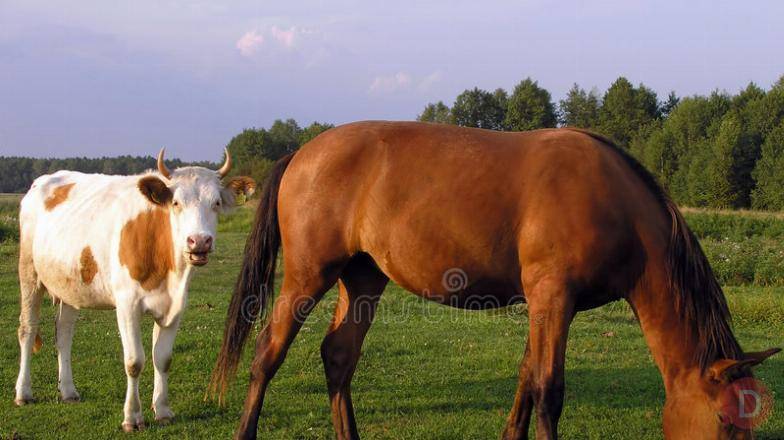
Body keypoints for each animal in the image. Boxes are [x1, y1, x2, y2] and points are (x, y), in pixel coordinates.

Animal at [14, 150, 254, 432]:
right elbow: (134, 362)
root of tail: (43, 180)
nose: (199, 241)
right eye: (176, 203)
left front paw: (163, 409)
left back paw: (69, 391)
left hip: (71, 283)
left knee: (63, 333)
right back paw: (23, 392)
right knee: (27, 329)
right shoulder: (127, 305)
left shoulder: (175, 307)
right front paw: (132, 417)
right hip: (29, 272)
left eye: (216, 202)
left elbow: (163, 358)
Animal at [208, 121, 776, 440]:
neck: (614, 203)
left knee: (338, 355)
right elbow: (548, 390)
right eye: (727, 423)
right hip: (309, 274)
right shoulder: (553, 298)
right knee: (268, 353)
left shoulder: (545, 304)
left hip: (363, 277)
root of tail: (302, 153)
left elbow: (526, 380)